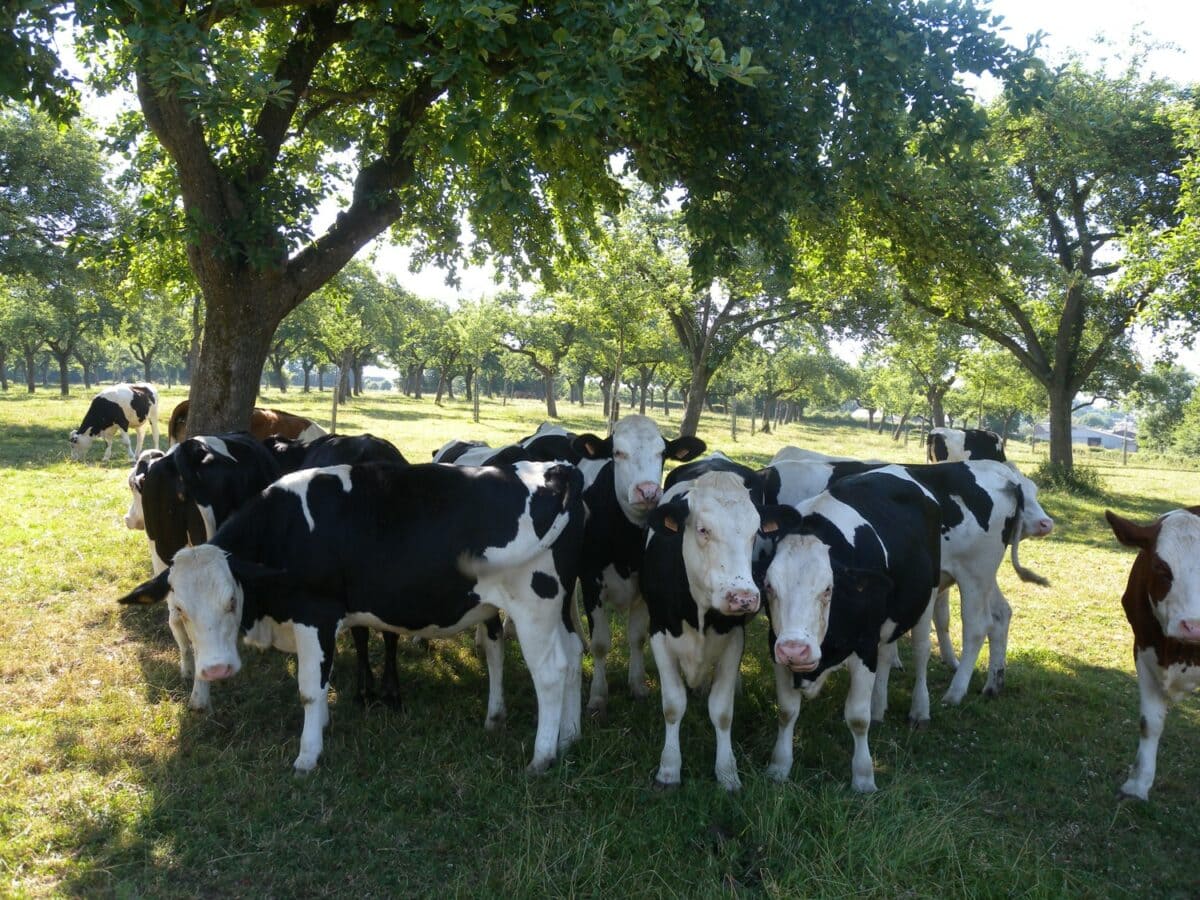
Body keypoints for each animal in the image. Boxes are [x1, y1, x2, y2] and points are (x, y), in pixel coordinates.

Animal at [119, 465, 588, 777]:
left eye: (231, 601)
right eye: (181, 610)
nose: (216, 670)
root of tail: (555, 470)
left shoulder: (316, 614)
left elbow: (309, 690)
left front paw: (307, 755)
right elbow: (321, 683)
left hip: (534, 604)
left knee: (551, 673)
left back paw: (542, 756)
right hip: (561, 606)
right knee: (572, 659)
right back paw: (568, 737)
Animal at [643, 472, 792, 787]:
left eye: (754, 532)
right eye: (703, 529)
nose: (743, 597)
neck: (697, 612)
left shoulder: (735, 640)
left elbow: (722, 711)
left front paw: (727, 772)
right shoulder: (658, 633)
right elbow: (673, 705)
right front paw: (669, 769)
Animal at [758, 468, 945, 792]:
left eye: (828, 589)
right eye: (769, 587)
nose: (795, 649)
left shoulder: (863, 646)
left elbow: (857, 718)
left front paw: (864, 777)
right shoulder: (775, 647)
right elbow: (786, 711)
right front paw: (778, 767)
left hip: (926, 599)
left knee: (921, 654)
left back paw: (920, 711)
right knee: (887, 655)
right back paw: (879, 706)